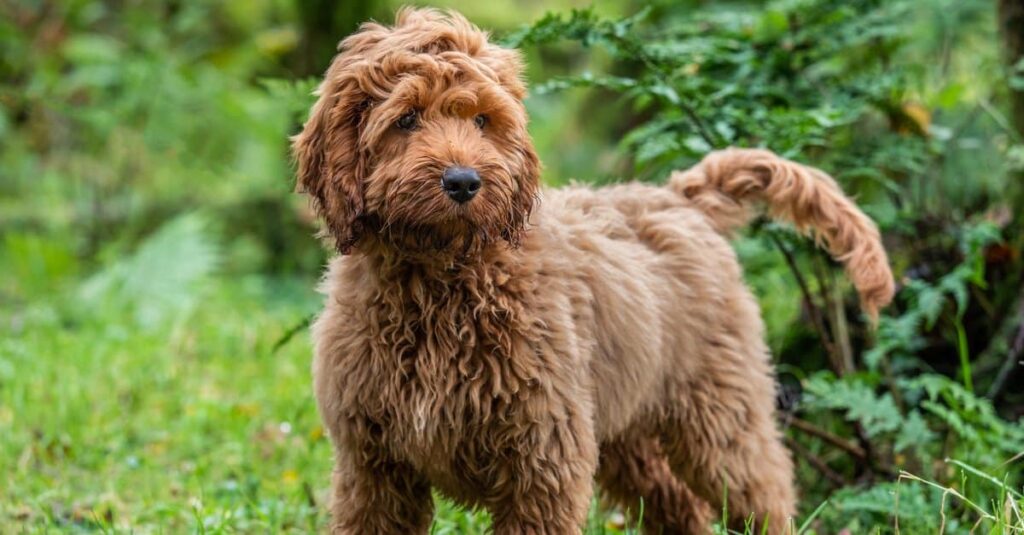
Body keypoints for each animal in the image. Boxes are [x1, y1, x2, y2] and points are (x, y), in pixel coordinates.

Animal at [292, 6, 892, 528]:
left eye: (483, 120)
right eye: (407, 119)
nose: (463, 182)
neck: (440, 280)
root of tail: (679, 196)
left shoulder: (542, 457)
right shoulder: (373, 469)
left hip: (720, 416)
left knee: (763, 494)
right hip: (626, 433)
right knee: (680, 508)